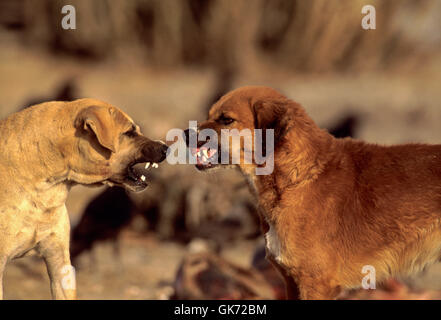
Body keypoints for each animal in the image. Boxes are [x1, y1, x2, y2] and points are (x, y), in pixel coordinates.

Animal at [186, 86, 441, 298]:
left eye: (226, 120)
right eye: (209, 114)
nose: (186, 133)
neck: (298, 178)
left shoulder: (315, 283)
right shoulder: (291, 282)